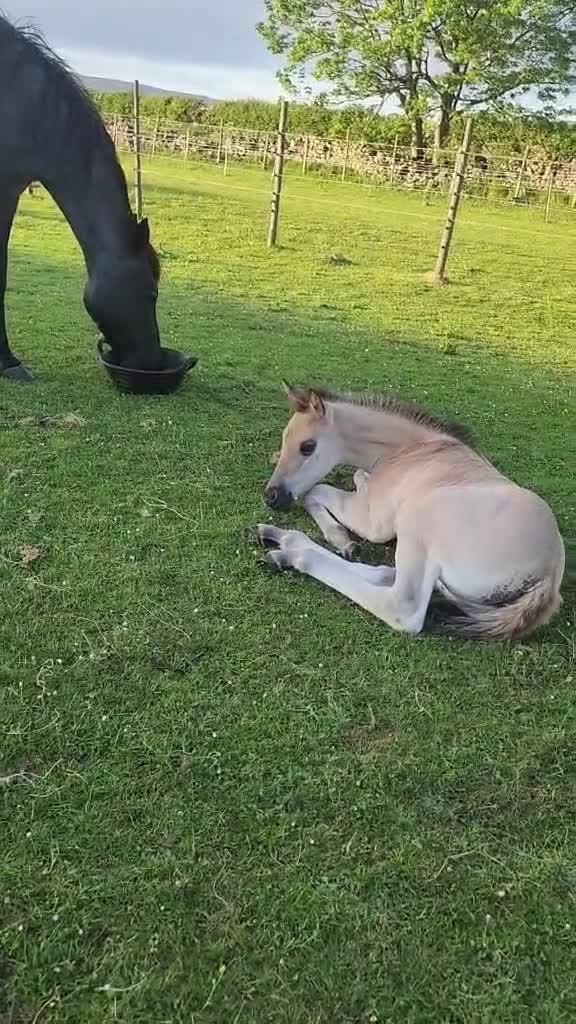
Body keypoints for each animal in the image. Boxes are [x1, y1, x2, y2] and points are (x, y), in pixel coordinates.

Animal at [251, 383, 565, 641]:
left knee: (402, 606)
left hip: (418, 522)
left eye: (308, 446)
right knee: (386, 573)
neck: (409, 450)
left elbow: (315, 491)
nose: (271, 497)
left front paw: (340, 537)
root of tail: (548, 578)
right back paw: (282, 542)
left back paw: (293, 552)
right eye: (284, 440)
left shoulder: (372, 520)